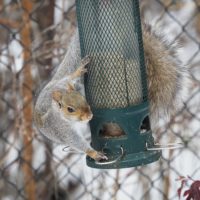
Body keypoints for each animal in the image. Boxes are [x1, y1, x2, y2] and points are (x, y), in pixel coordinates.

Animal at [34, 23, 188, 156]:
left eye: (83, 99)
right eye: (70, 109)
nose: (89, 115)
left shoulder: (68, 85)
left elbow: (72, 77)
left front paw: (79, 70)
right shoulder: (59, 129)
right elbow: (74, 141)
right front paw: (94, 154)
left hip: (65, 82)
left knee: (69, 78)